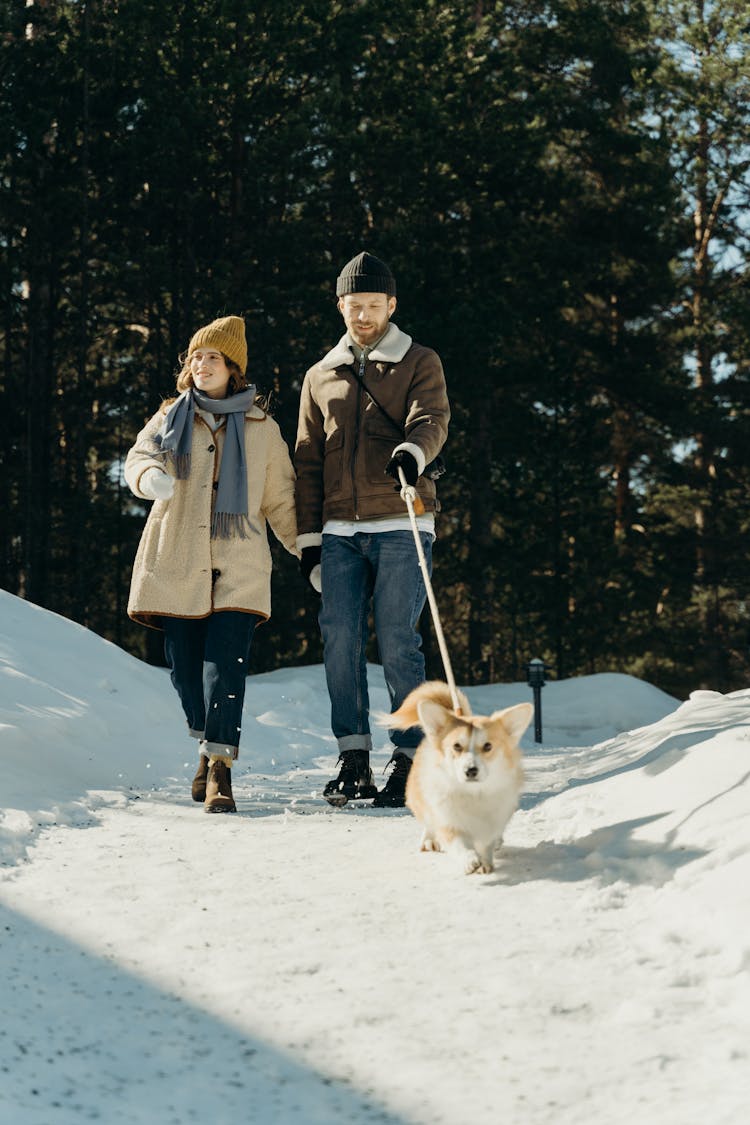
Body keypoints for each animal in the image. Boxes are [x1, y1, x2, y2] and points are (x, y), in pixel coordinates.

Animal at [386, 679, 532, 873]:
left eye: (488, 746)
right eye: (456, 746)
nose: (471, 770)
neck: (474, 793)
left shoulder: (493, 819)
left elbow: (486, 843)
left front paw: (485, 862)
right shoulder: (448, 820)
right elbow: (459, 844)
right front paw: (470, 860)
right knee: (428, 820)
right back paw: (429, 840)